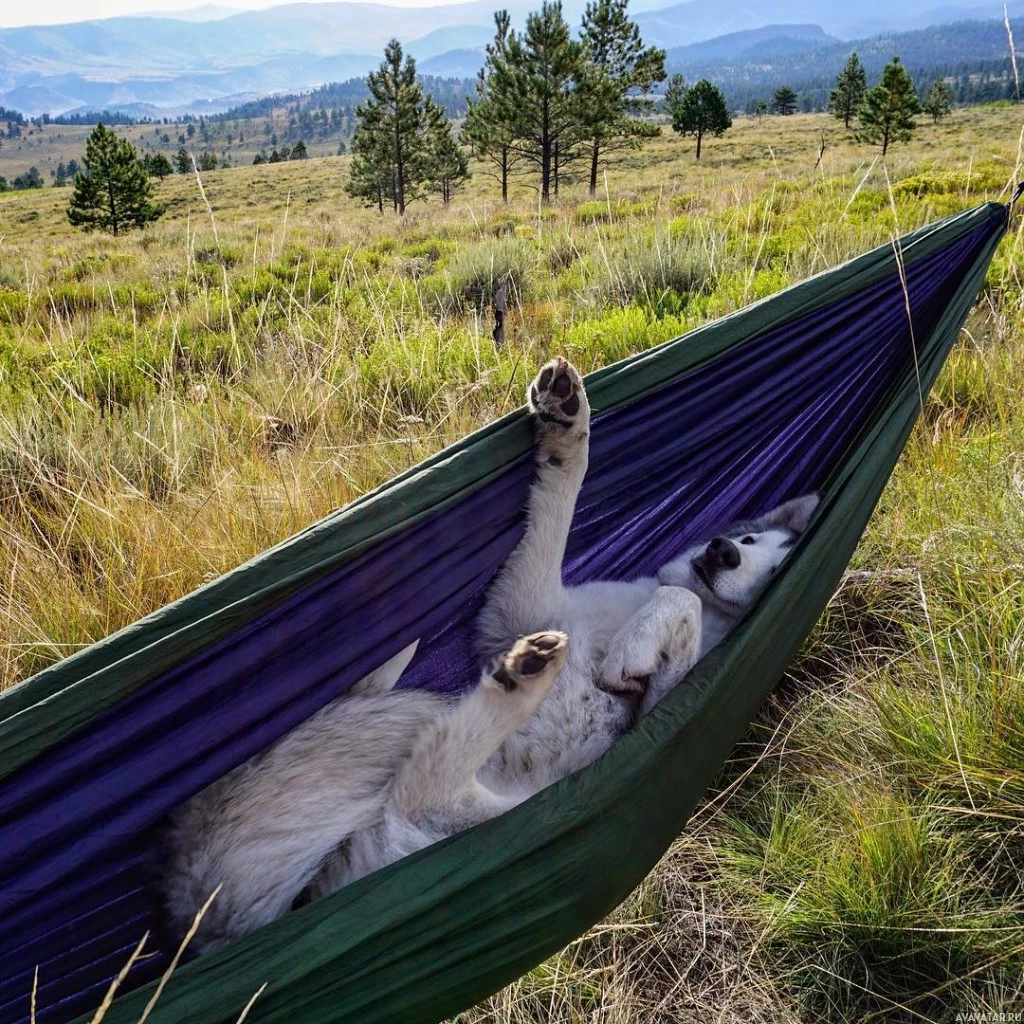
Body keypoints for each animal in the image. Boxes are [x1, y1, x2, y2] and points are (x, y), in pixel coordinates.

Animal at [475, 360, 819, 790]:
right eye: (749, 539)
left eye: (776, 571)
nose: (723, 551)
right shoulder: (528, 610)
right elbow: (560, 497)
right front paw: (567, 420)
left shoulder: (658, 719)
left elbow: (682, 601)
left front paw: (633, 648)